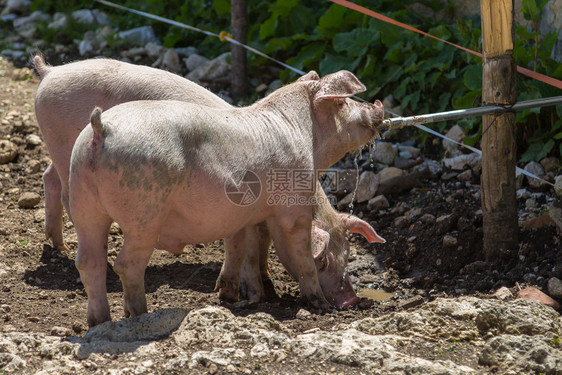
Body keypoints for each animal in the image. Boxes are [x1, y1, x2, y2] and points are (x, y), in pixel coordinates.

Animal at [36, 58, 384, 312]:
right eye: (341, 104)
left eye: (349, 252)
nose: (351, 300)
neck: (297, 128)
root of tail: (100, 129)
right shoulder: (291, 209)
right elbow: (292, 255)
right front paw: (316, 306)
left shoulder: (248, 213)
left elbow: (246, 246)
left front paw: (242, 293)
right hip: (140, 211)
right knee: (126, 262)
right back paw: (140, 315)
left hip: (83, 192)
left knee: (85, 254)